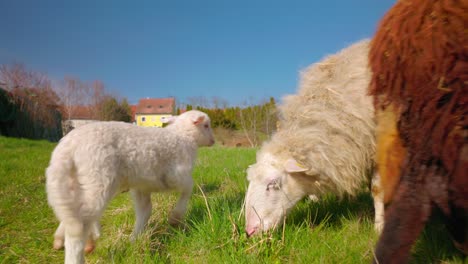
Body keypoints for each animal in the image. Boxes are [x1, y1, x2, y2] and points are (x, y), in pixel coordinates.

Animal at [46, 109, 215, 264]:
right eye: (206, 125)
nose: (213, 141)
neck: (183, 137)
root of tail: (68, 144)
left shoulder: (142, 186)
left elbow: (145, 210)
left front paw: (135, 239)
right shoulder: (175, 174)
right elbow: (188, 188)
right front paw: (175, 218)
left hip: (74, 182)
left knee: (72, 215)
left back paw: (66, 239)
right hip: (98, 176)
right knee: (80, 224)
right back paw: (79, 251)